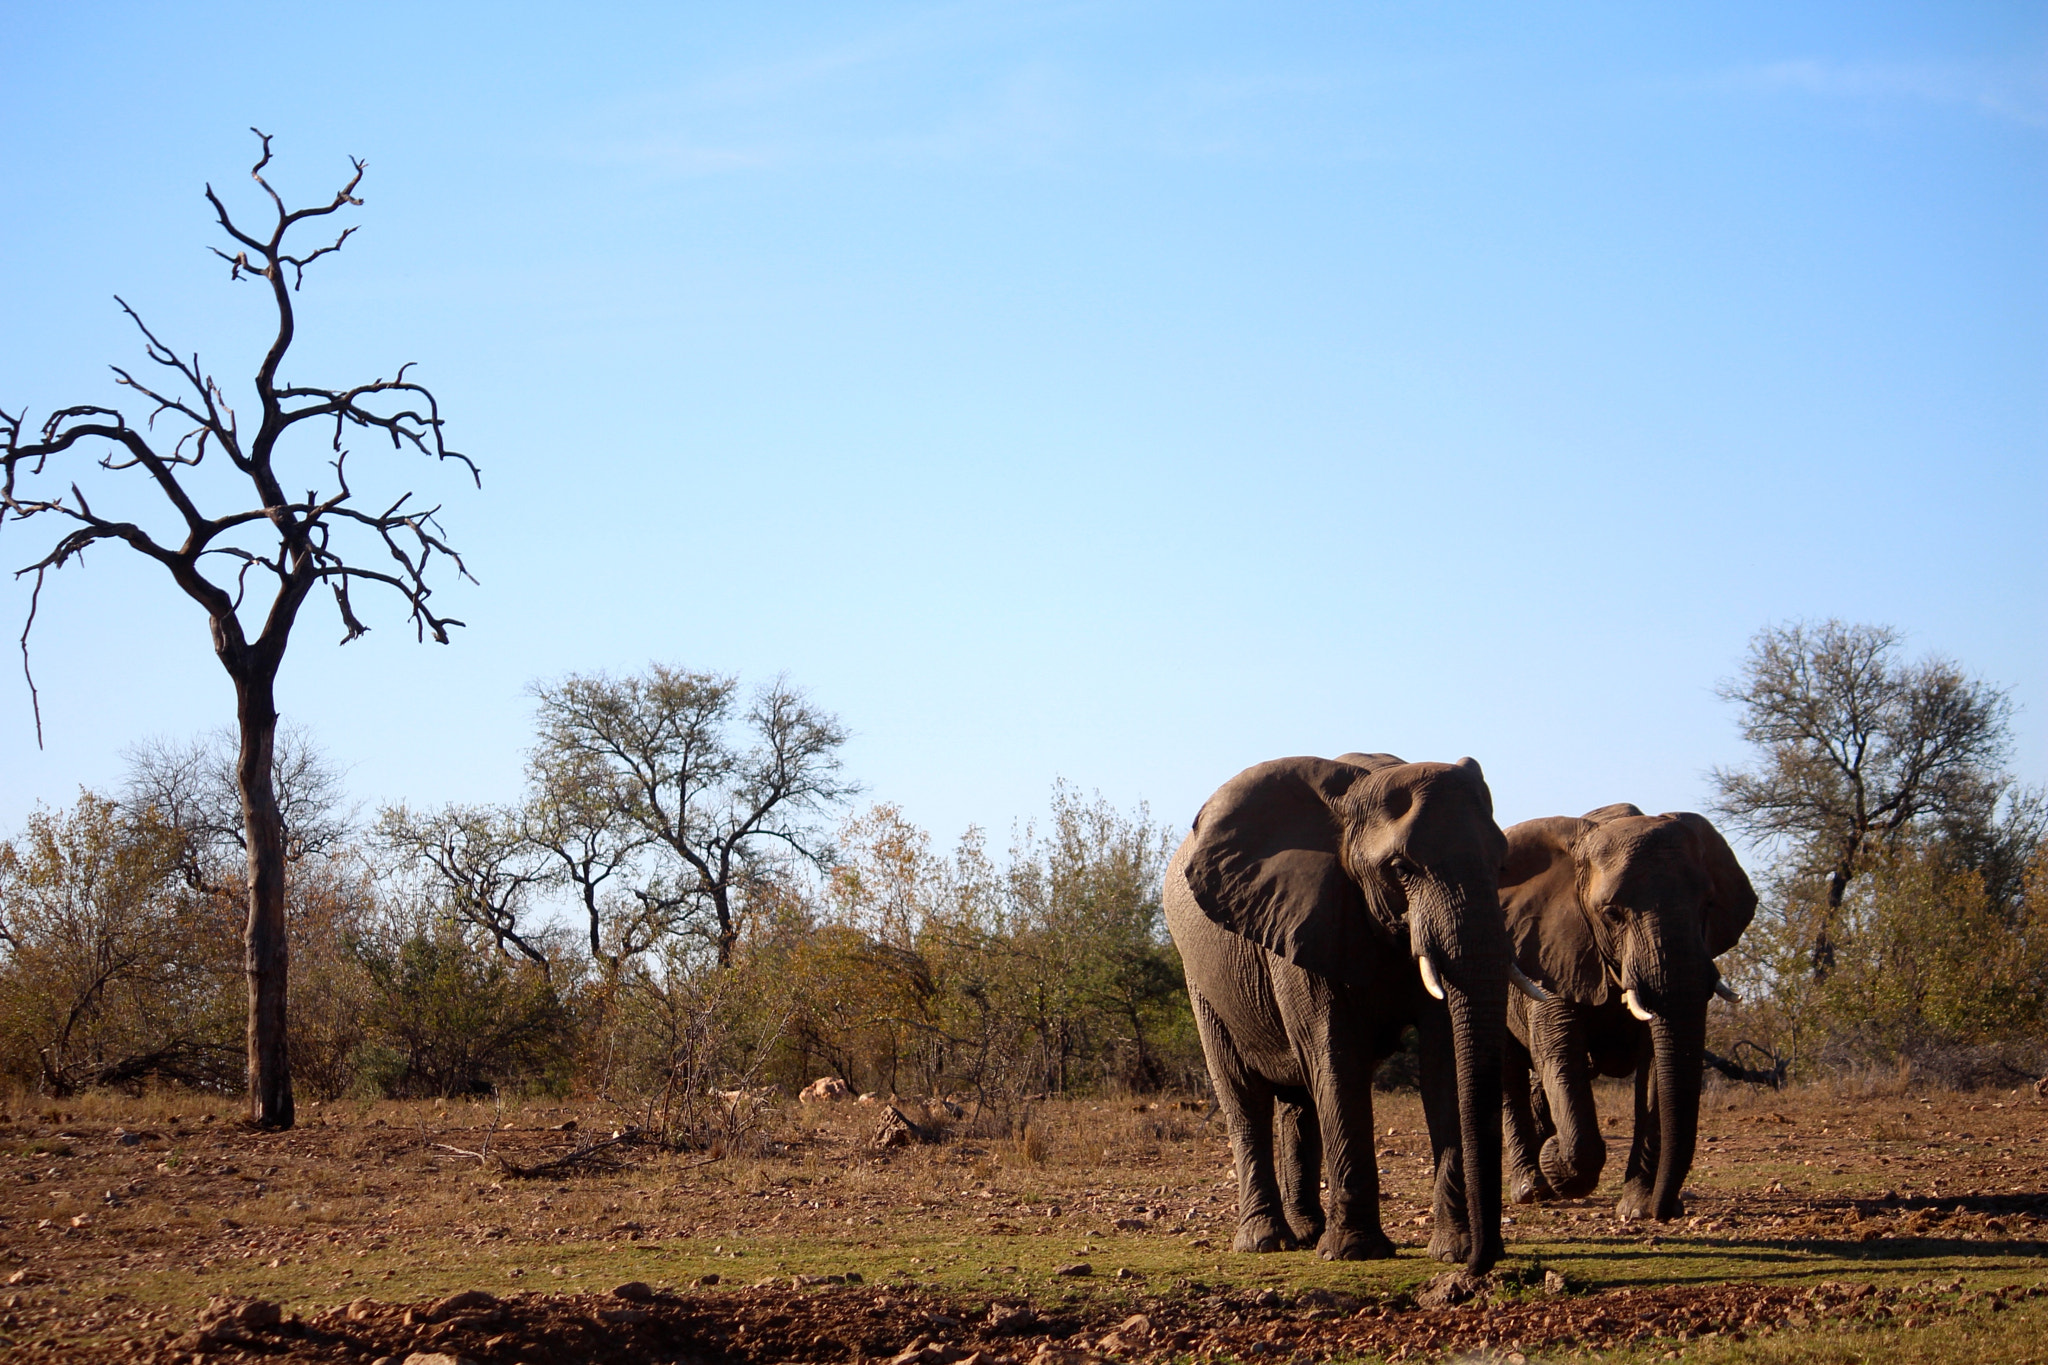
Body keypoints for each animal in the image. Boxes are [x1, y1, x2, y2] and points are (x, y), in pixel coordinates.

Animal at [1164, 752, 1547, 1272]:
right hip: (1201, 978)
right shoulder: (1304, 920)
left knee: (1299, 1104)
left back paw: (1306, 1233)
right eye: (1401, 868)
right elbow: (1336, 1054)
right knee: (1244, 1095)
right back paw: (1266, 1241)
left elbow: (1444, 1061)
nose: (1476, 1267)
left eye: (1501, 863)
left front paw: (1452, 1250)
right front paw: (1355, 1253)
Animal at [1499, 804, 1757, 1223]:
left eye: (1708, 905)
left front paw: (1636, 1208)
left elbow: (1655, 1070)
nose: (1666, 1211)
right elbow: (1561, 1055)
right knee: (1509, 1071)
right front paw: (1558, 1162)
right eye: (1613, 914)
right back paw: (1531, 1190)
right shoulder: (1555, 950)